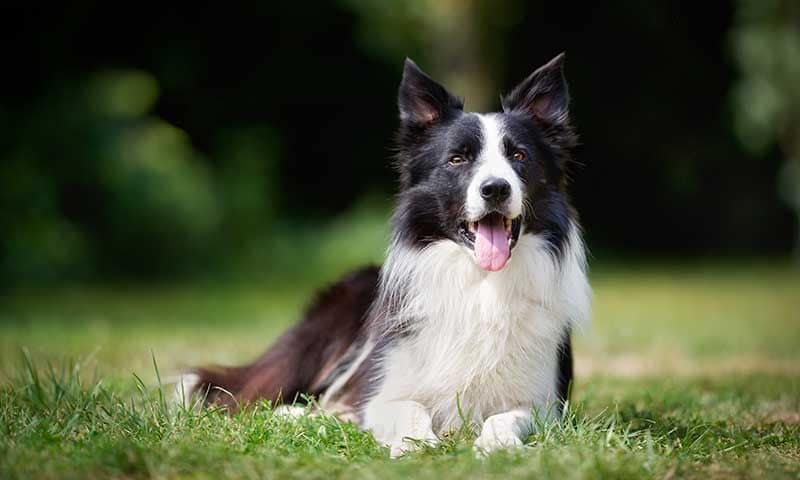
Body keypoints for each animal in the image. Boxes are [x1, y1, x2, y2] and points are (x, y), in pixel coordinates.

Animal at [183, 54, 592, 456]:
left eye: (519, 155)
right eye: (457, 160)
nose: (495, 188)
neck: (480, 284)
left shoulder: (544, 403)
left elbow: (506, 417)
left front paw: (498, 444)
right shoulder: (383, 390)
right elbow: (407, 408)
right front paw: (417, 444)